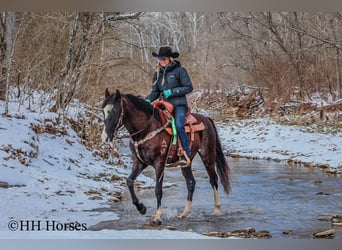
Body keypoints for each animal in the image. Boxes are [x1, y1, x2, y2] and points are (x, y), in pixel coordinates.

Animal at [100, 88, 231, 225]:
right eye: (102, 111)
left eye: (114, 111)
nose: (105, 137)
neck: (146, 129)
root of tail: (206, 119)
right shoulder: (140, 162)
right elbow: (129, 181)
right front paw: (141, 208)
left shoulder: (160, 163)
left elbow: (158, 189)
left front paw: (158, 216)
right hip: (186, 162)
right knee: (191, 182)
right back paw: (184, 213)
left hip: (207, 155)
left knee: (213, 180)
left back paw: (217, 210)